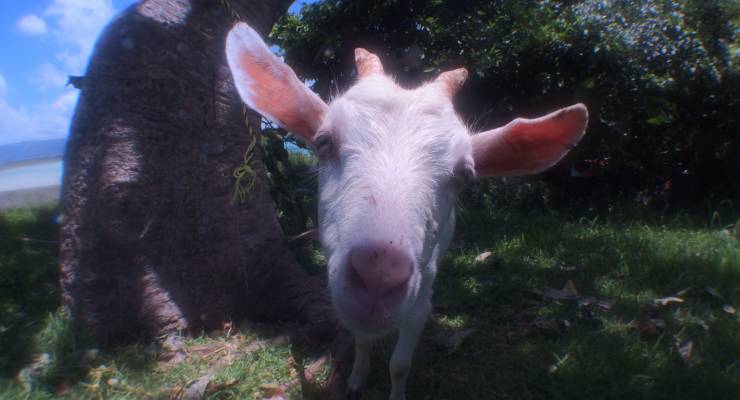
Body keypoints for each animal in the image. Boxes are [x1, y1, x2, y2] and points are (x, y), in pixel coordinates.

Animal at [225, 22, 588, 400]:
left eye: (464, 175)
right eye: (323, 142)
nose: (379, 275)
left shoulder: (422, 291)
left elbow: (400, 363)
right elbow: (361, 339)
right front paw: (356, 379)